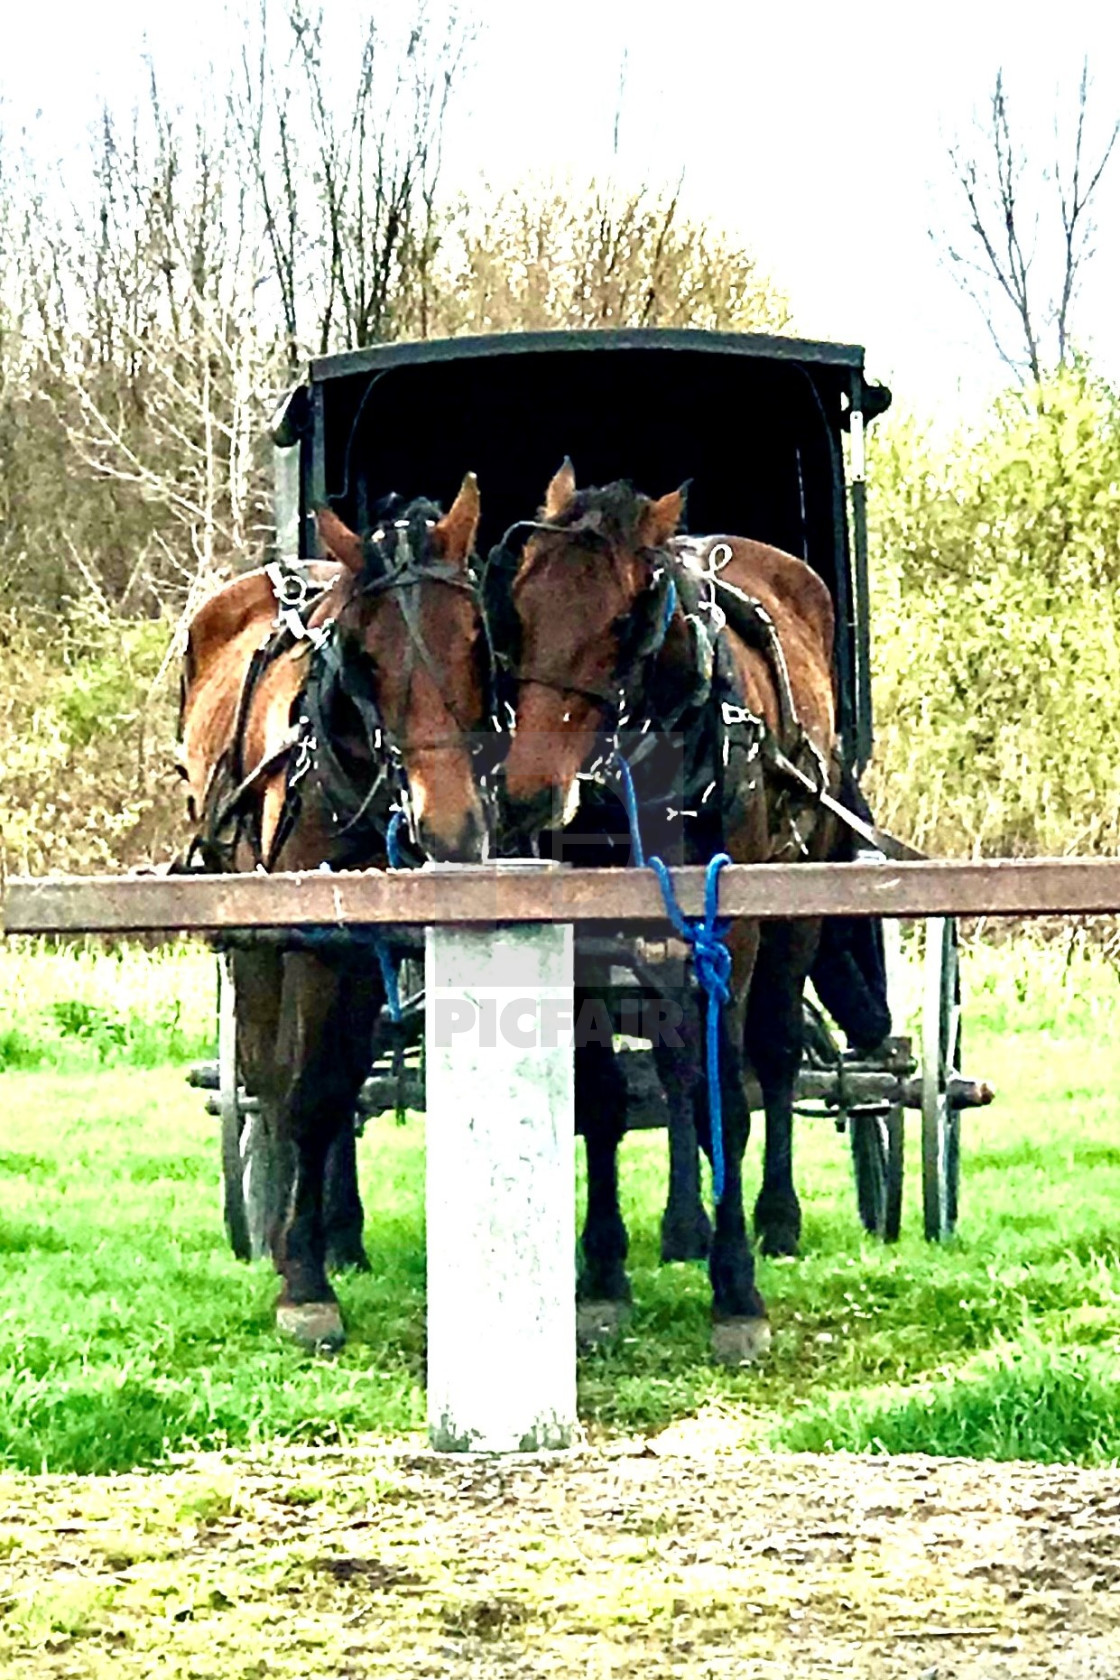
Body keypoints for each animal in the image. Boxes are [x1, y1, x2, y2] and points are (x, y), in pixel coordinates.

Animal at [179, 477, 486, 1350]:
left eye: (475, 637)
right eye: (367, 654)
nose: (450, 828)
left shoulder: (366, 947)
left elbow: (339, 1084)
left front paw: (322, 1243)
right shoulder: (313, 943)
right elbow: (302, 1091)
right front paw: (301, 1278)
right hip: (252, 926)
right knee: (264, 1070)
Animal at [490, 460, 839, 1364]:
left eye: (623, 620)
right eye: (522, 600)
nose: (528, 793)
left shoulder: (732, 932)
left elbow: (732, 1097)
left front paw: (736, 1289)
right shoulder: (590, 939)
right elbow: (603, 1097)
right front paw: (603, 1273)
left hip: (799, 903)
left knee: (770, 1060)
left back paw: (774, 1217)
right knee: (679, 1067)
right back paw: (683, 1222)